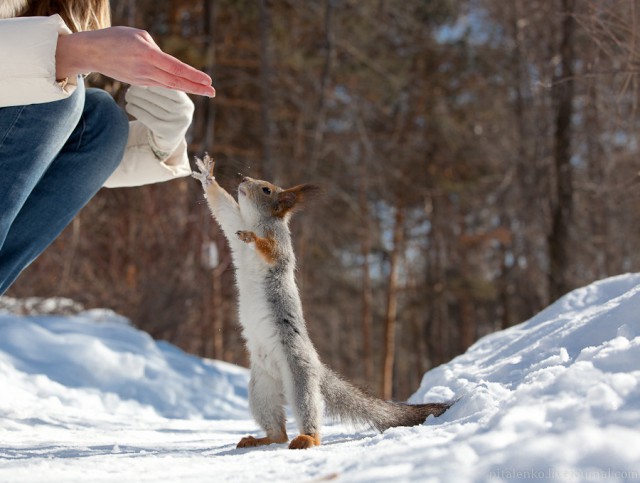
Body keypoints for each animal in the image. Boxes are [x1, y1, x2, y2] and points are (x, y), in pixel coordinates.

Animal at [190, 157, 450, 452]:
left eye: (267, 189)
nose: (244, 180)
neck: (254, 221)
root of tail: (315, 365)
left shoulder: (280, 245)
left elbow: (271, 250)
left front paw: (253, 239)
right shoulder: (234, 221)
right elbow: (221, 208)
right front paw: (207, 175)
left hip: (298, 376)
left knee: (306, 412)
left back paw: (307, 438)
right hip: (262, 387)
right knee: (279, 431)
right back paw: (260, 438)